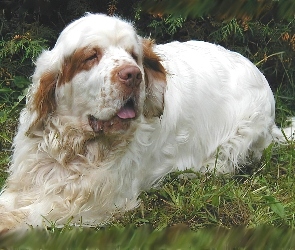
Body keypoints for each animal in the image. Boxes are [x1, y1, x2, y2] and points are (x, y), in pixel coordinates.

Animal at [0, 12, 294, 231]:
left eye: (134, 55)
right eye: (91, 56)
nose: (133, 74)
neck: (74, 146)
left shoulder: (93, 204)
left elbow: (28, 215)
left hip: (239, 137)